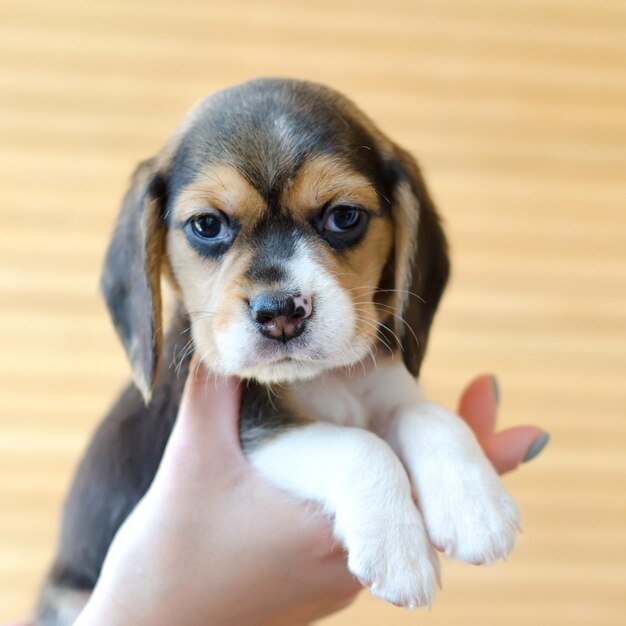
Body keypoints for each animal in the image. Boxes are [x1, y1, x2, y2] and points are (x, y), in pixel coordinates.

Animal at [36, 79, 520, 624]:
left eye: (344, 217)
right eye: (207, 225)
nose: (281, 311)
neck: (322, 378)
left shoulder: (386, 394)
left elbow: (429, 415)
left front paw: (475, 507)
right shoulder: (256, 428)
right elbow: (361, 446)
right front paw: (397, 550)